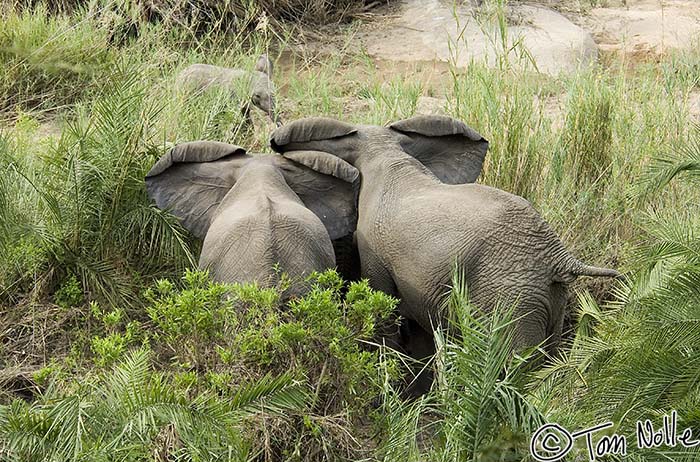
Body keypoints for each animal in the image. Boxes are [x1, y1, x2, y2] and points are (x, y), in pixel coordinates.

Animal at [270, 114, 620, 386]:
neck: (387, 154)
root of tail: (558, 256)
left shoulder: (374, 250)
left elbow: (383, 305)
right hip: (552, 296)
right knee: (551, 357)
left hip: (512, 299)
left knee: (520, 366)